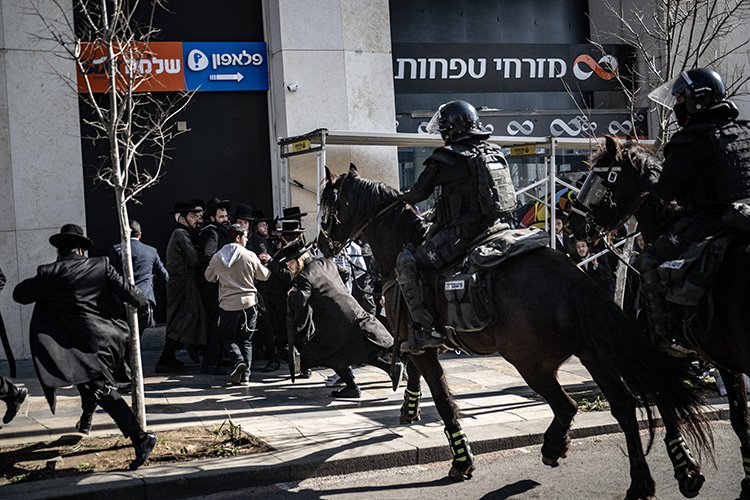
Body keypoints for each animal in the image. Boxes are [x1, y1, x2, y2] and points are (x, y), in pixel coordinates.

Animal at [320, 165, 712, 500]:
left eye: (328, 204)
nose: (322, 245)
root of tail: (572, 278)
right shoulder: (415, 339)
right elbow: (415, 370)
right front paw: (409, 408)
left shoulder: (420, 341)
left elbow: (443, 400)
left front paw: (461, 460)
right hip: (592, 352)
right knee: (626, 405)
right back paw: (648, 480)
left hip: (531, 363)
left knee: (568, 406)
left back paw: (555, 447)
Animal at [568, 135, 750, 498]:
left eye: (599, 178)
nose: (573, 224)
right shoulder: (725, 358)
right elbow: (740, 417)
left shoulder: (660, 350)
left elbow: (667, 403)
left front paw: (685, 469)